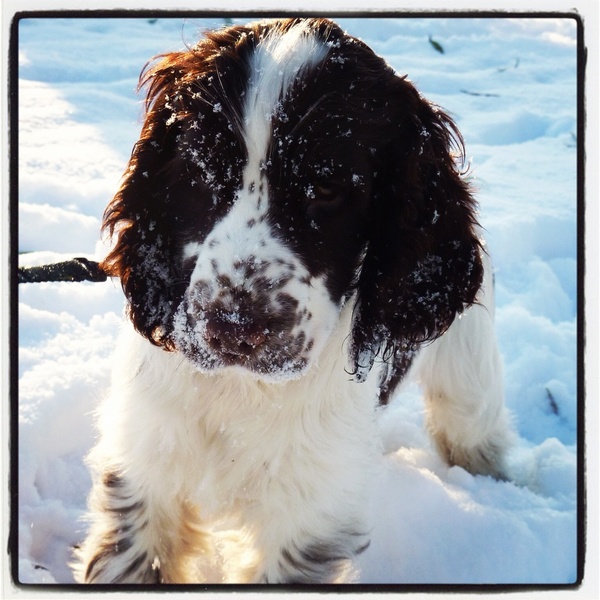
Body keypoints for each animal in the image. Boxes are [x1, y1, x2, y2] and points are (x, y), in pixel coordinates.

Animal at [71, 17, 510, 580]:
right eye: (202, 172)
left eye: (326, 190)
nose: (235, 328)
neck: (239, 390)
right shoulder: (144, 466)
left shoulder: (310, 517)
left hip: (467, 366)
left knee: (471, 423)